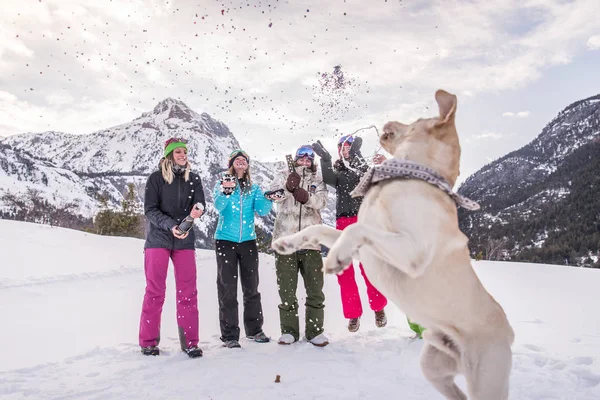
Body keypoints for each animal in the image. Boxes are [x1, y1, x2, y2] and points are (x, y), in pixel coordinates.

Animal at [274, 90, 512, 400]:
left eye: (415, 121)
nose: (386, 121)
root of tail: (509, 331)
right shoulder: (364, 241)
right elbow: (319, 228)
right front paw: (286, 242)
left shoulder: (413, 252)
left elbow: (358, 229)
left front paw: (337, 257)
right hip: (433, 367)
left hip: (486, 379)